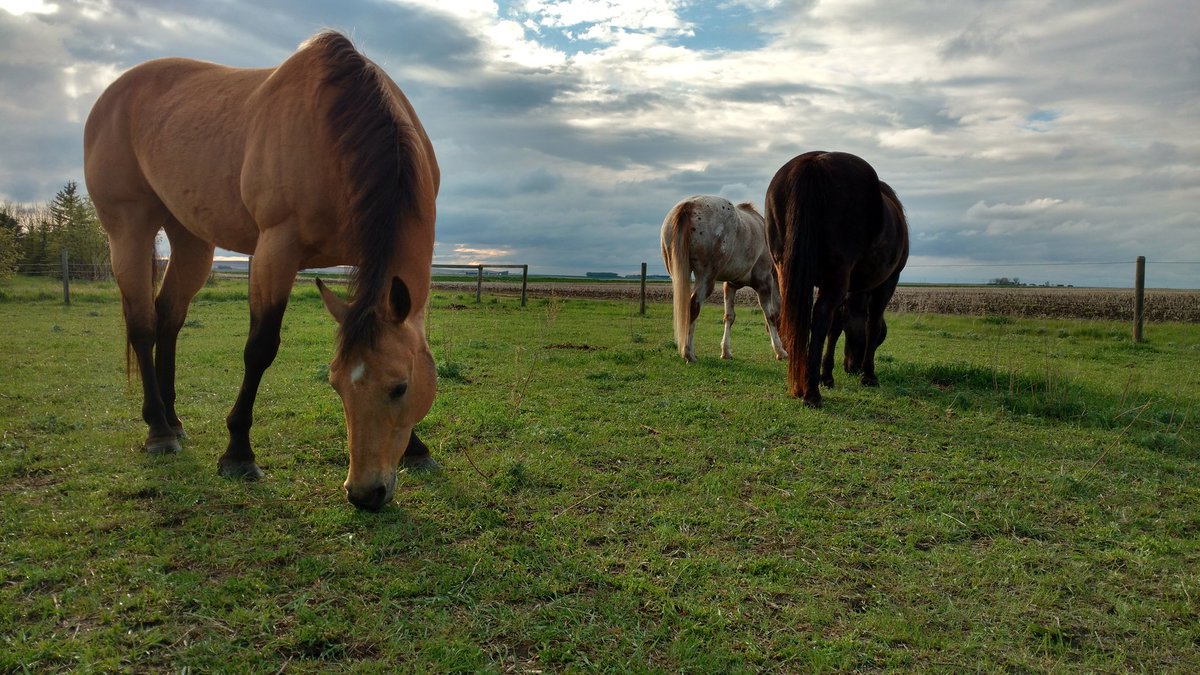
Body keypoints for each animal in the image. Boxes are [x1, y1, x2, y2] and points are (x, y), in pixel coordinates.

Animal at [84, 31, 439, 511]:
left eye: (400, 387)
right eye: (335, 384)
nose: (365, 493)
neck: (335, 131)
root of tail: (110, 96)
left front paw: (416, 448)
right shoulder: (275, 250)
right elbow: (260, 349)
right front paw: (238, 454)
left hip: (192, 239)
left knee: (168, 317)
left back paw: (174, 420)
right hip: (129, 230)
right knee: (142, 325)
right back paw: (158, 429)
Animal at [660, 196, 787, 363]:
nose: (786, 344)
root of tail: (689, 205)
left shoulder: (730, 286)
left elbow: (729, 317)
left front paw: (726, 351)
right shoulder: (764, 283)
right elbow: (770, 316)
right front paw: (780, 351)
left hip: (677, 275)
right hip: (706, 277)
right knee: (693, 306)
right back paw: (689, 354)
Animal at [765, 152, 909, 407]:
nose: (852, 368)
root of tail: (815, 162)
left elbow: (837, 324)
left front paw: (827, 375)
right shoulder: (887, 283)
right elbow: (872, 324)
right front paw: (869, 375)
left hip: (786, 273)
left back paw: (801, 386)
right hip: (839, 276)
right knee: (820, 316)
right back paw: (811, 393)